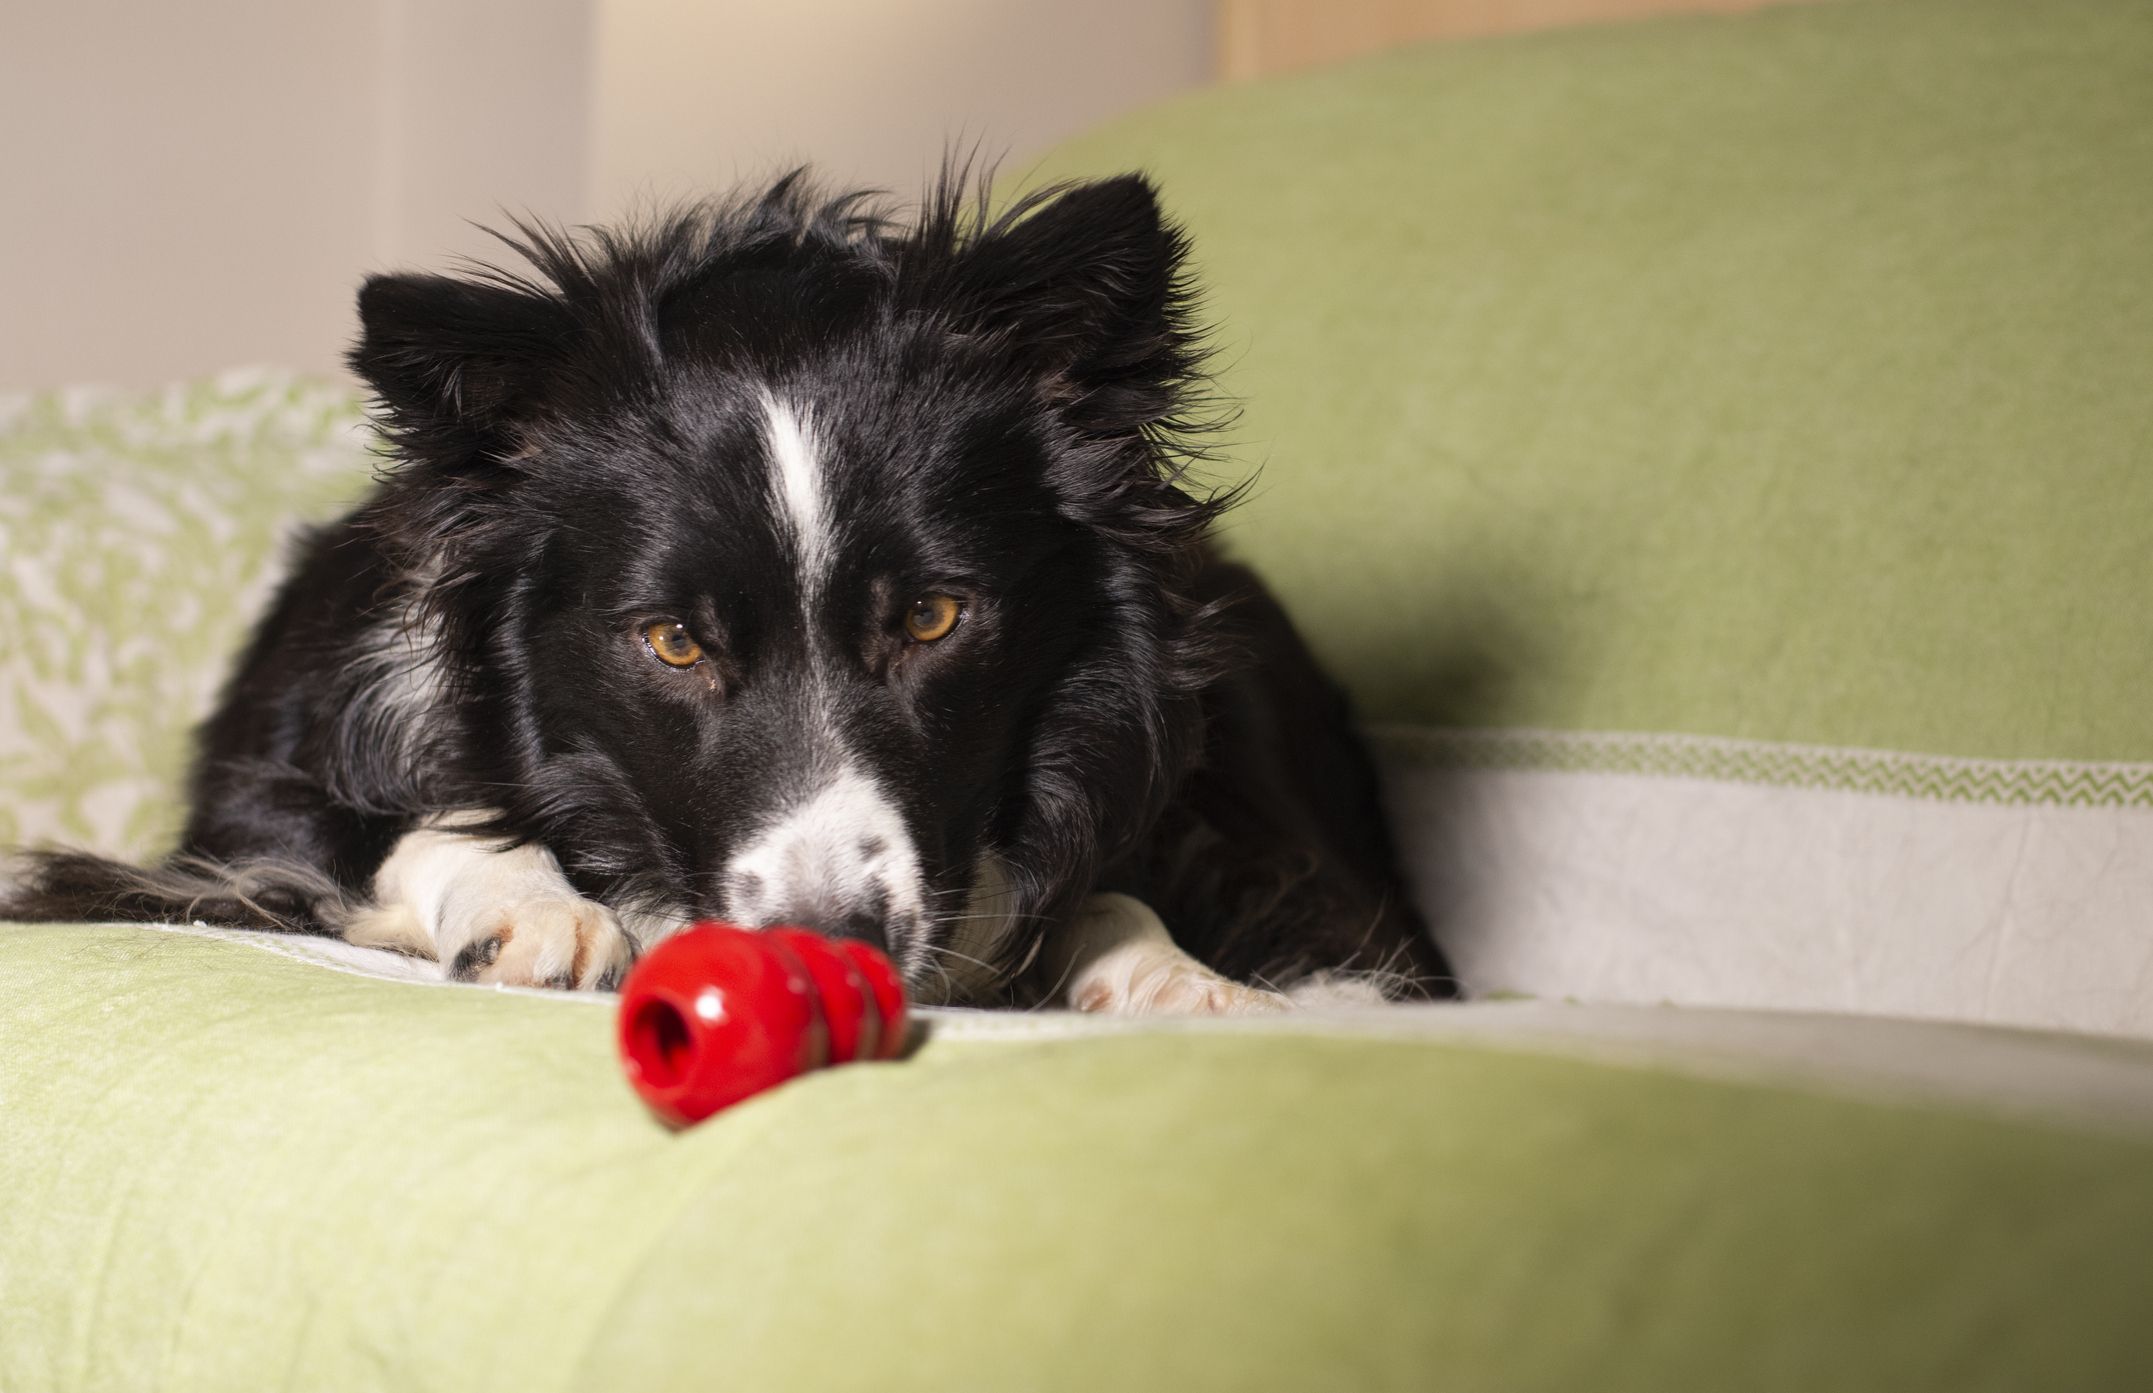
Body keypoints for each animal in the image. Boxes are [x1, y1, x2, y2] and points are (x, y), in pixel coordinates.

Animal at [0, 174, 1455, 1020]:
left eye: (932, 618)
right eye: (672, 642)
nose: (831, 944)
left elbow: (1107, 885)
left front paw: (1174, 974)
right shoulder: (255, 796)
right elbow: (399, 828)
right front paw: (540, 907)